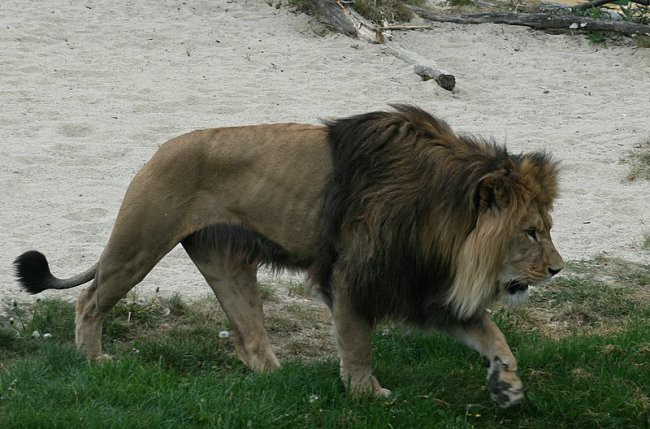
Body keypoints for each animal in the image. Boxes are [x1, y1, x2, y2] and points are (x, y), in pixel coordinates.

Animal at [15, 105, 560, 406]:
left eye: (547, 229)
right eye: (530, 232)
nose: (557, 270)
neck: (441, 218)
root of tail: (157, 151)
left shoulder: (422, 284)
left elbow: (492, 333)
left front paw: (507, 385)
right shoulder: (352, 277)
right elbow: (358, 344)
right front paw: (366, 395)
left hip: (226, 262)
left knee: (248, 337)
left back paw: (281, 381)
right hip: (140, 242)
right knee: (89, 300)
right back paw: (94, 359)